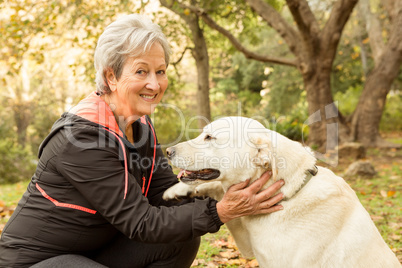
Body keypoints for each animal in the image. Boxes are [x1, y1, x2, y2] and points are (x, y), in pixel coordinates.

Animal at [163, 116, 398, 268]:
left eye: (209, 137)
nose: (167, 151)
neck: (290, 193)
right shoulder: (247, 244)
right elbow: (219, 191)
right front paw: (179, 190)